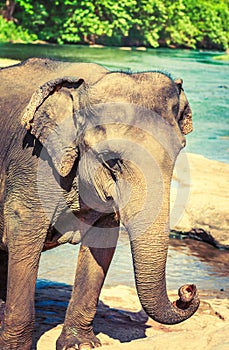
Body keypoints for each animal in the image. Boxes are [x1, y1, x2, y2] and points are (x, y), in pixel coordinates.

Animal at [0, 58, 199, 348]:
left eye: (178, 151)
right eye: (112, 161)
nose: (187, 290)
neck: (84, 88)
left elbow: (102, 239)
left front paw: (80, 344)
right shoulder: (33, 161)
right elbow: (23, 234)